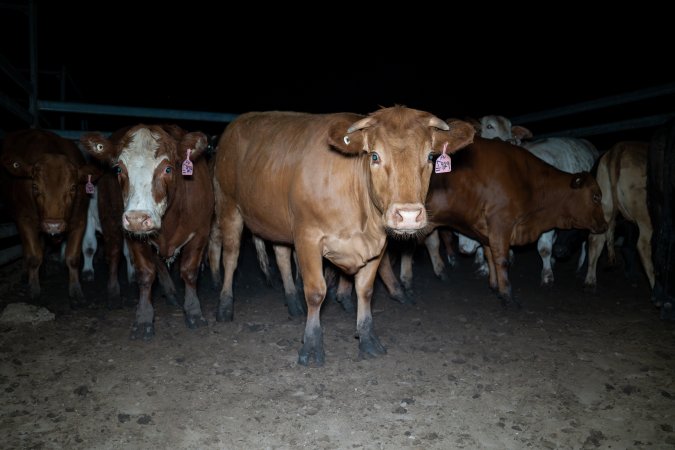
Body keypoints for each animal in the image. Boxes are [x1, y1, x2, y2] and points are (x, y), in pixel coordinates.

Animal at [0, 128, 100, 308]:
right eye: (35, 187)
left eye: (73, 187)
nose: (54, 226)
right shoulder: (24, 220)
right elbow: (33, 256)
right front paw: (33, 289)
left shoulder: (79, 221)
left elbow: (73, 258)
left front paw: (76, 291)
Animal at [81, 124, 214, 342]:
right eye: (119, 169)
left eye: (168, 168)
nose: (137, 218)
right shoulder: (134, 236)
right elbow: (145, 274)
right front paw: (143, 319)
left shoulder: (201, 230)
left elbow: (189, 271)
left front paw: (194, 312)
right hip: (110, 220)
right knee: (114, 254)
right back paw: (114, 295)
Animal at [213, 108, 476, 366]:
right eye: (375, 156)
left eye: (430, 157)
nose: (409, 215)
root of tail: (238, 122)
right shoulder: (307, 236)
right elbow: (316, 292)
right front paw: (311, 346)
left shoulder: (377, 245)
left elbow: (365, 290)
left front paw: (368, 339)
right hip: (229, 206)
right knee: (231, 256)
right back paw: (225, 307)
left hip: (276, 219)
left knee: (281, 255)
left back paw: (293, 303)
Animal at [398, 137, 608, 306]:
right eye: (596, 196)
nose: (605, 224)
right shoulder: (501, 223)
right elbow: (502, 259)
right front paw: (507, 295)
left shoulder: (486, 229)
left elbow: (490, 255)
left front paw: (495, 286)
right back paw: (404, 285)